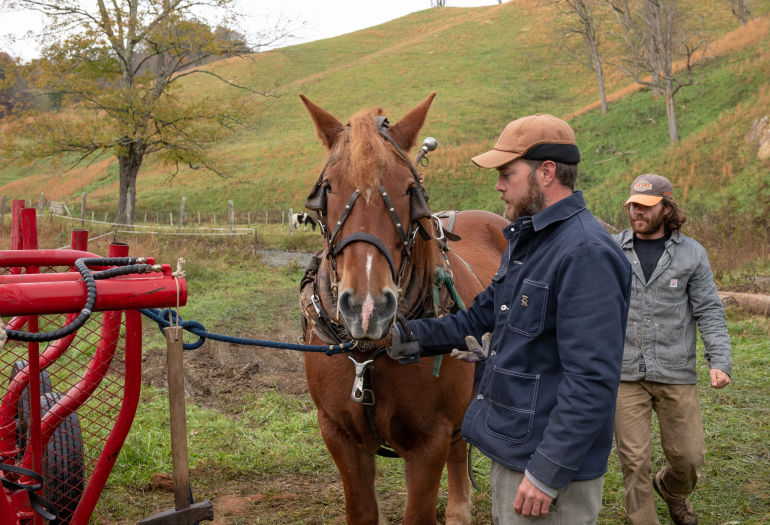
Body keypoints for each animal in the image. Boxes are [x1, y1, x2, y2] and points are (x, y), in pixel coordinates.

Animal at [296, 92, 508, 520]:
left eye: (410, 189)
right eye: (328, 189)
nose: (367, 308)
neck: (368, 355)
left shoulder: (428, 442)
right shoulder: (339, 435)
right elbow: (361, 512)